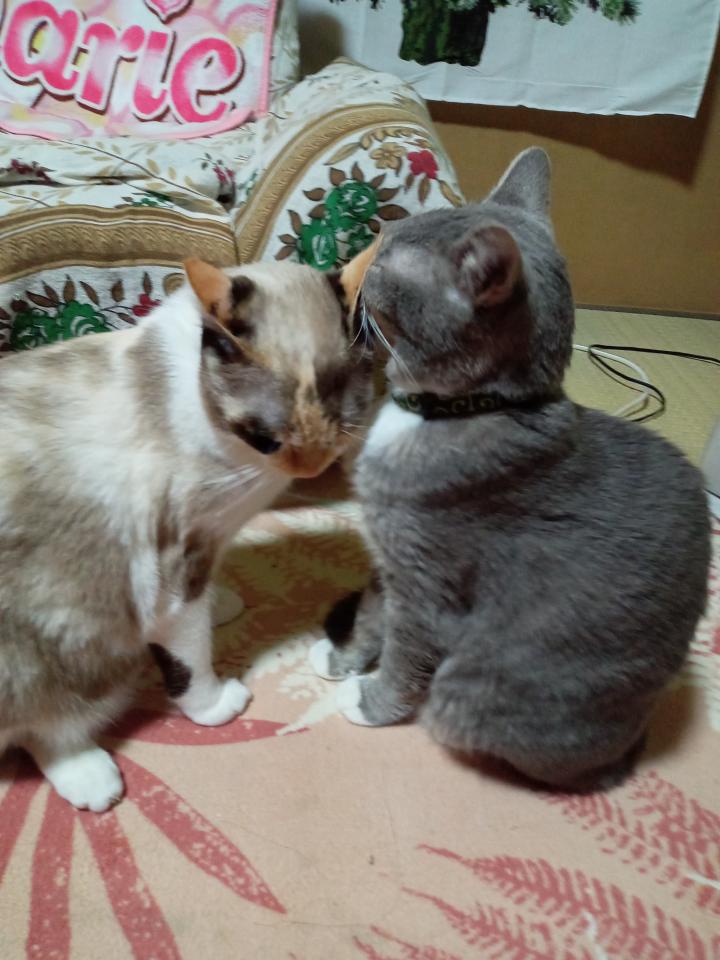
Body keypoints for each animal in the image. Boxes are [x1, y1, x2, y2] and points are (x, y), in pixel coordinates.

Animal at [0, 257, 372, 811]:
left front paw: (224, 603)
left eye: (343, 428)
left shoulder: (207, 544)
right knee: (46, 726)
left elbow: (211, 595)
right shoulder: (173, 571)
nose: (309, 471)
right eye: (265, 438)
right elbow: (192, 657)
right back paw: (91, 778)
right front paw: (215, 703)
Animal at [309, 147, 711, 791]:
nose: (352, 262)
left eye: (387, 261)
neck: (452, 411)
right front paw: (342, 658)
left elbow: (403, 648)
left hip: (469, 694)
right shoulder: (390, 564)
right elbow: (372, 615)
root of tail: (625, 754)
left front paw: (370, 702)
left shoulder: (427, 582)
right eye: (383, 236)